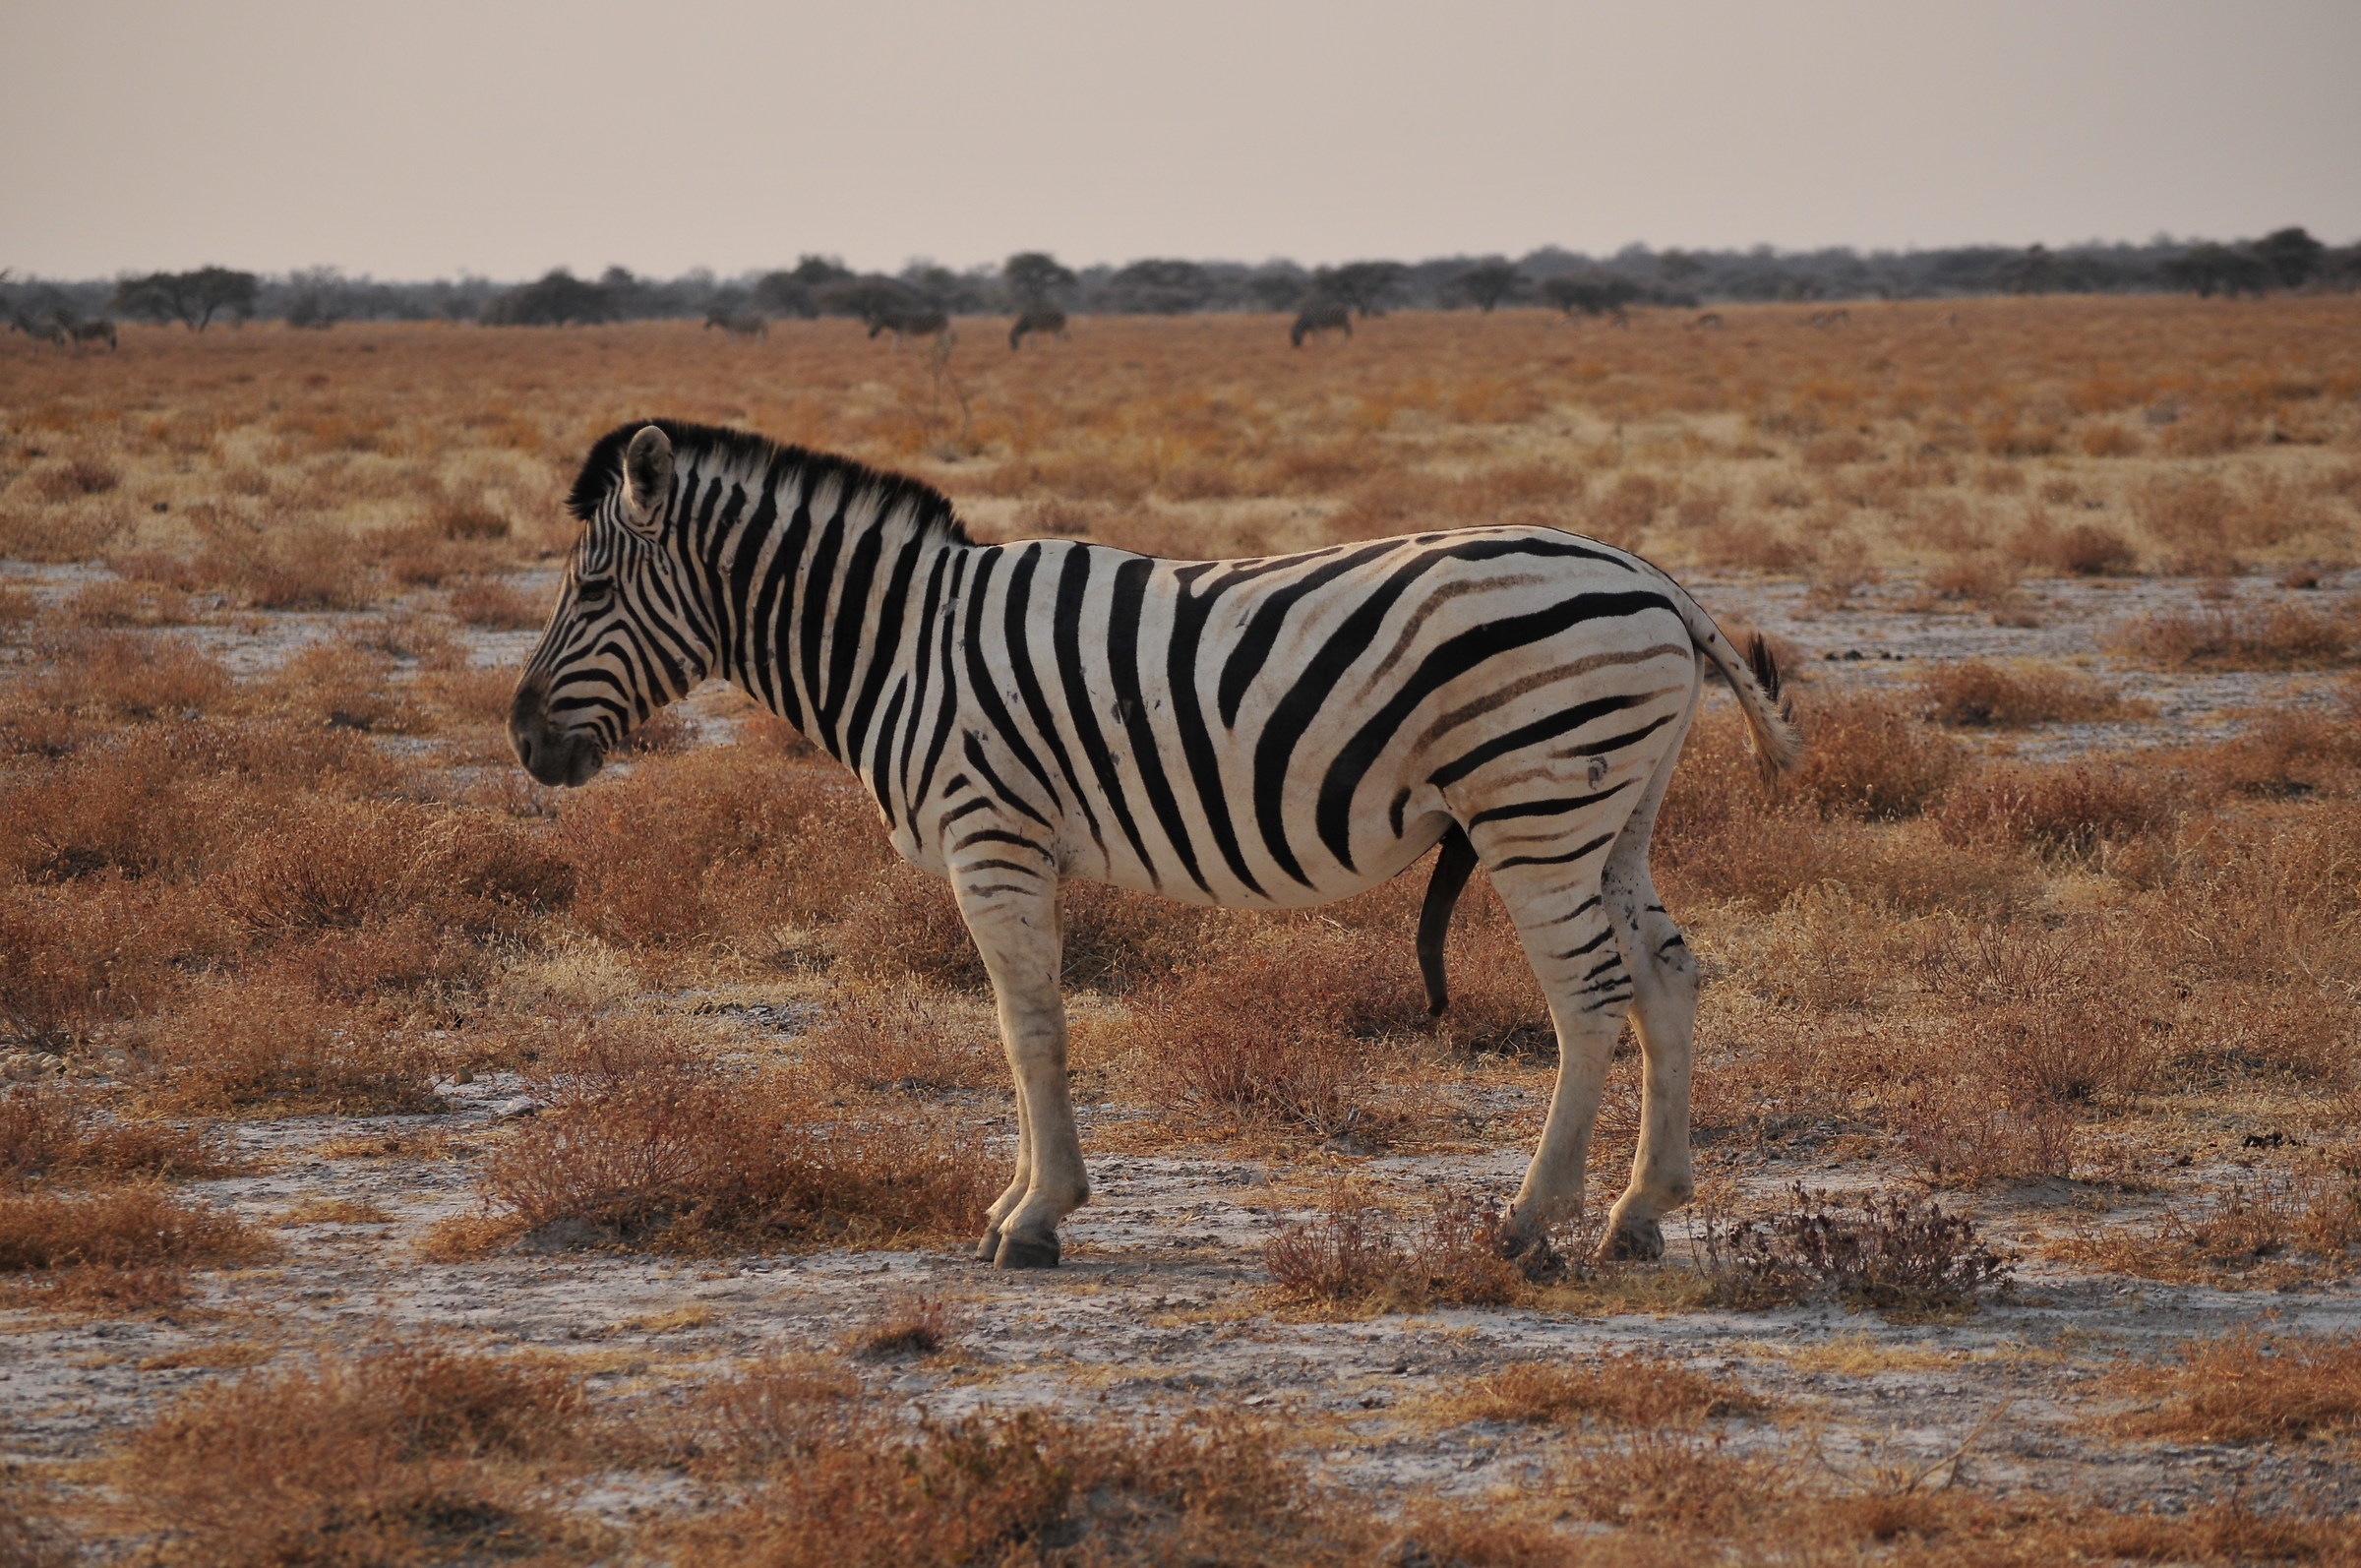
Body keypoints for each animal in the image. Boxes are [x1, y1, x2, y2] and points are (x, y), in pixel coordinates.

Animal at [509, 420, 1801, 1270]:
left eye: (589, 588)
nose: (521, 739)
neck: (899, 644)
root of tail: (1653, 579)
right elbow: (1023, 1031)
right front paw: (1020, 1203)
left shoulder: (994, 838)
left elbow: (1026, 1029)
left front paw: (1033, 1217)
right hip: (1610, 817)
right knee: (1667, 975)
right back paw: (1641, 1213)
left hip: (1533, 806)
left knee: (1589, 999)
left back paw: (1530, 1224)